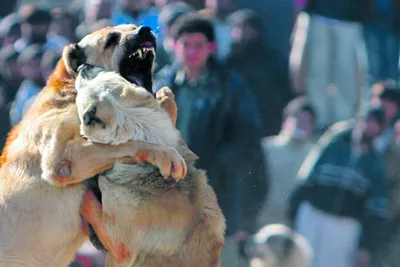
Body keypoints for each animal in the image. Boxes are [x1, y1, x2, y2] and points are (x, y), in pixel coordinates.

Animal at [0, 25, 185, 267]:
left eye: (133, 27)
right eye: (111, 40)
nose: (145, 30)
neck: (71, 90)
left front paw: (166, 101)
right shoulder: (62, 158)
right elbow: (128, 143)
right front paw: (163, 154)